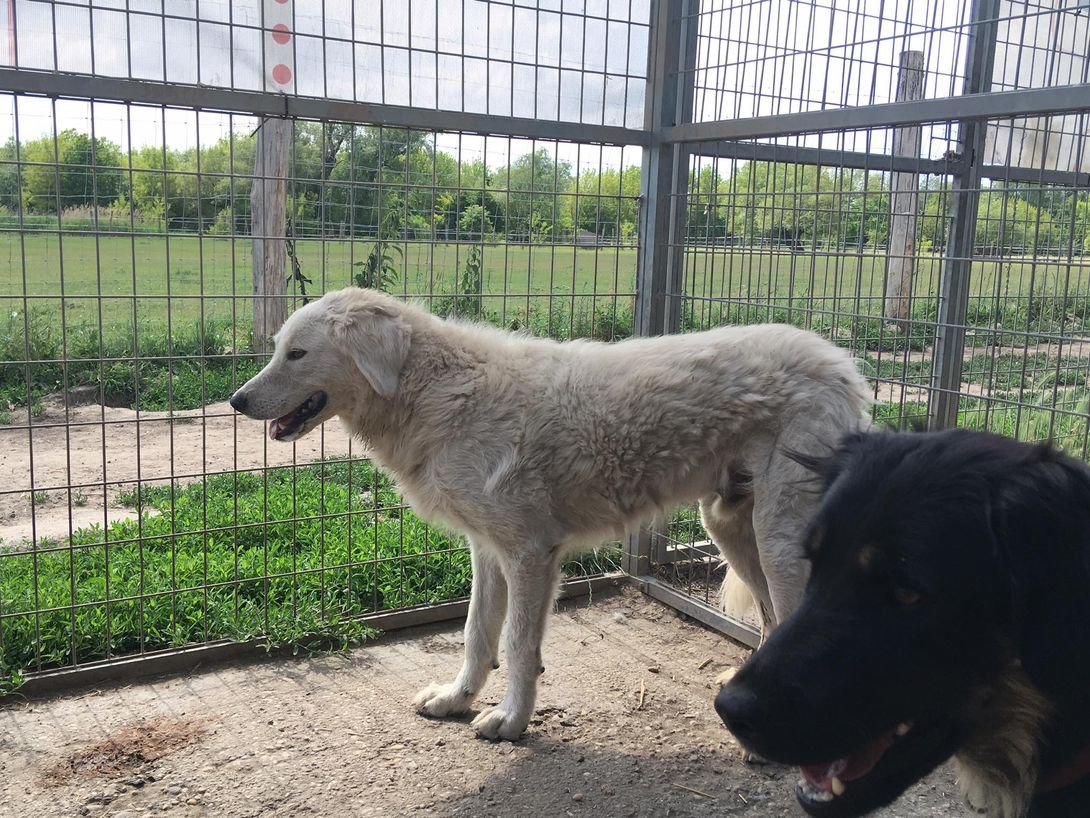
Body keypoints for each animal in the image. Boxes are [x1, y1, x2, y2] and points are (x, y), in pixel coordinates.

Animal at [229, 287, 867, 741]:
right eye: (278, 348)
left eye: (297, 353)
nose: (236, 401)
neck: (436, 394)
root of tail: (843, 362)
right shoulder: (487, 552)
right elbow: (475, 635)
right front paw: (456, 700)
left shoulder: (530, 555)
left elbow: (515, 646)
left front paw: (510, 722)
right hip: (731, 527)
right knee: (770, 621)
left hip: (778, 542)